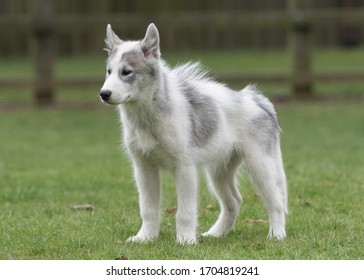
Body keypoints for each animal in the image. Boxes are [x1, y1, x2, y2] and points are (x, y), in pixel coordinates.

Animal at [99, 23, 288, 244]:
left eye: (126, 72)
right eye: (109, 71)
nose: (104, 94)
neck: (148, 116)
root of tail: (256, 98)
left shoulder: (184, 168)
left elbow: (185, 211)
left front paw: (185, 241)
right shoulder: (144, 168)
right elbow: (148, 208)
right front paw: (145, 237)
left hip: (259, 165)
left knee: (275, 201)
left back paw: (276, 234)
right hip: (219, 170)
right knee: (233, 201)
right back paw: (216, 233)